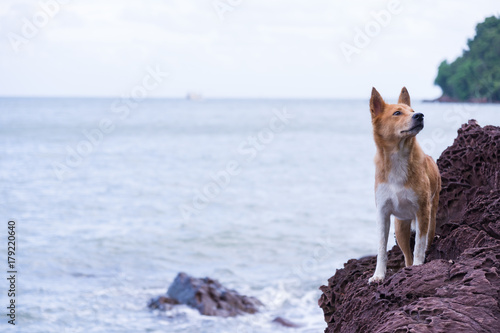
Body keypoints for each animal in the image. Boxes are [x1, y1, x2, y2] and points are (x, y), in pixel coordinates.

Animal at [368, 86, 442, 282]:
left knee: (425, 242)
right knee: (406, 255)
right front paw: (378, 275)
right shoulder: (383, 213)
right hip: (400, 227)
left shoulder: (423, 211)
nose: (420, 115)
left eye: (412, 110)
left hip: (431, 217)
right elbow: (381, 248)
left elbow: (419, 246)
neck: (397, 158)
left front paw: (418, 267)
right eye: (397, 113)